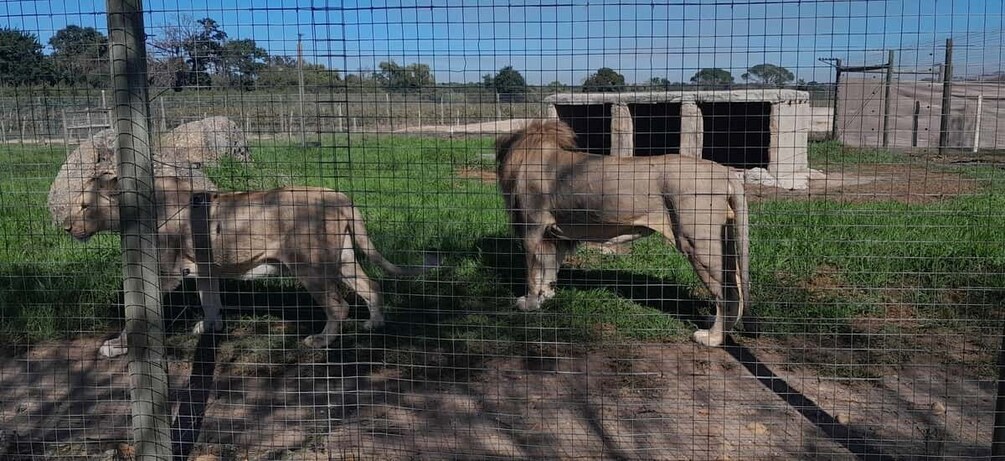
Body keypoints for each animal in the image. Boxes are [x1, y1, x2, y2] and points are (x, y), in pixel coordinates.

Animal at [65, 172, 431, 358]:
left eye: (83, 206)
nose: (66, 227)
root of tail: (340, 196)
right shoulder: (205, 267)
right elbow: (210, 300)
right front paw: (210, 328)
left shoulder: (164, 272)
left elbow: (137, 315)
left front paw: (117, 345)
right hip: (341, 258)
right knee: (371, 285)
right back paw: (375, 323)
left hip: (308, 265)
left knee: (339, 305)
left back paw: (320, 342)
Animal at [495, 119, 751, 347]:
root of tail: (726, 172)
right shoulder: (553, 234)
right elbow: (549, 266)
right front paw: (546, 295)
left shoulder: (532, 228)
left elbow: (532, 273)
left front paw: (529, 303)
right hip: (723, 239)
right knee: (737, 285)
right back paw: (716, 323)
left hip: (697, 242)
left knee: (727, 293)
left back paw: (712, 338)